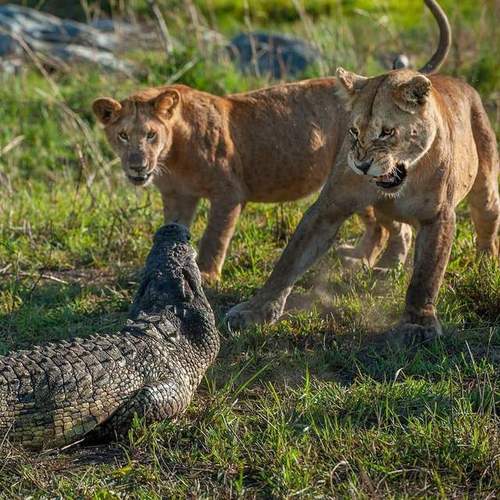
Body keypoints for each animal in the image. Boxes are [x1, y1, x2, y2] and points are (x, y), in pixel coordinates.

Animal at [226, 0, 496, 342]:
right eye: (354, 131)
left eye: (387, 132)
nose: (363, 164)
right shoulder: (329, 207)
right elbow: (290, 260)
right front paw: (256, 309)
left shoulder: (438, 216)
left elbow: (426, 274)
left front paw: (418, 324)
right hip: (380, 208)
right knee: (399, 229)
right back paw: (387, 266)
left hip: (485, 182)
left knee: (486, 222)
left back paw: (486, 265)